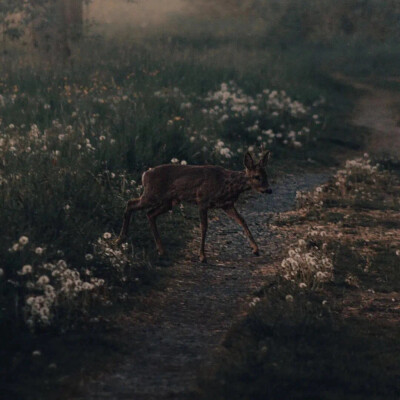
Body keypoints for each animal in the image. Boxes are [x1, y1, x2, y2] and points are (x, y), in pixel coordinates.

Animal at [114, 151, 274, 262]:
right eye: (257, 177)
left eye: (266, 175)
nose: (269, 190)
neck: (227, 185)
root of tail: (145, 174)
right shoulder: (202, 200)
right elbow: (204, 227)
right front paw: (202, 256)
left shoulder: (227, 205)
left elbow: (242, 220)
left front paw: (256, 249)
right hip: (152, 194)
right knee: (130, 203)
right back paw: (120, 240)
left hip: (168, 202)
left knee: (150, 214)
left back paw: (161, 250)